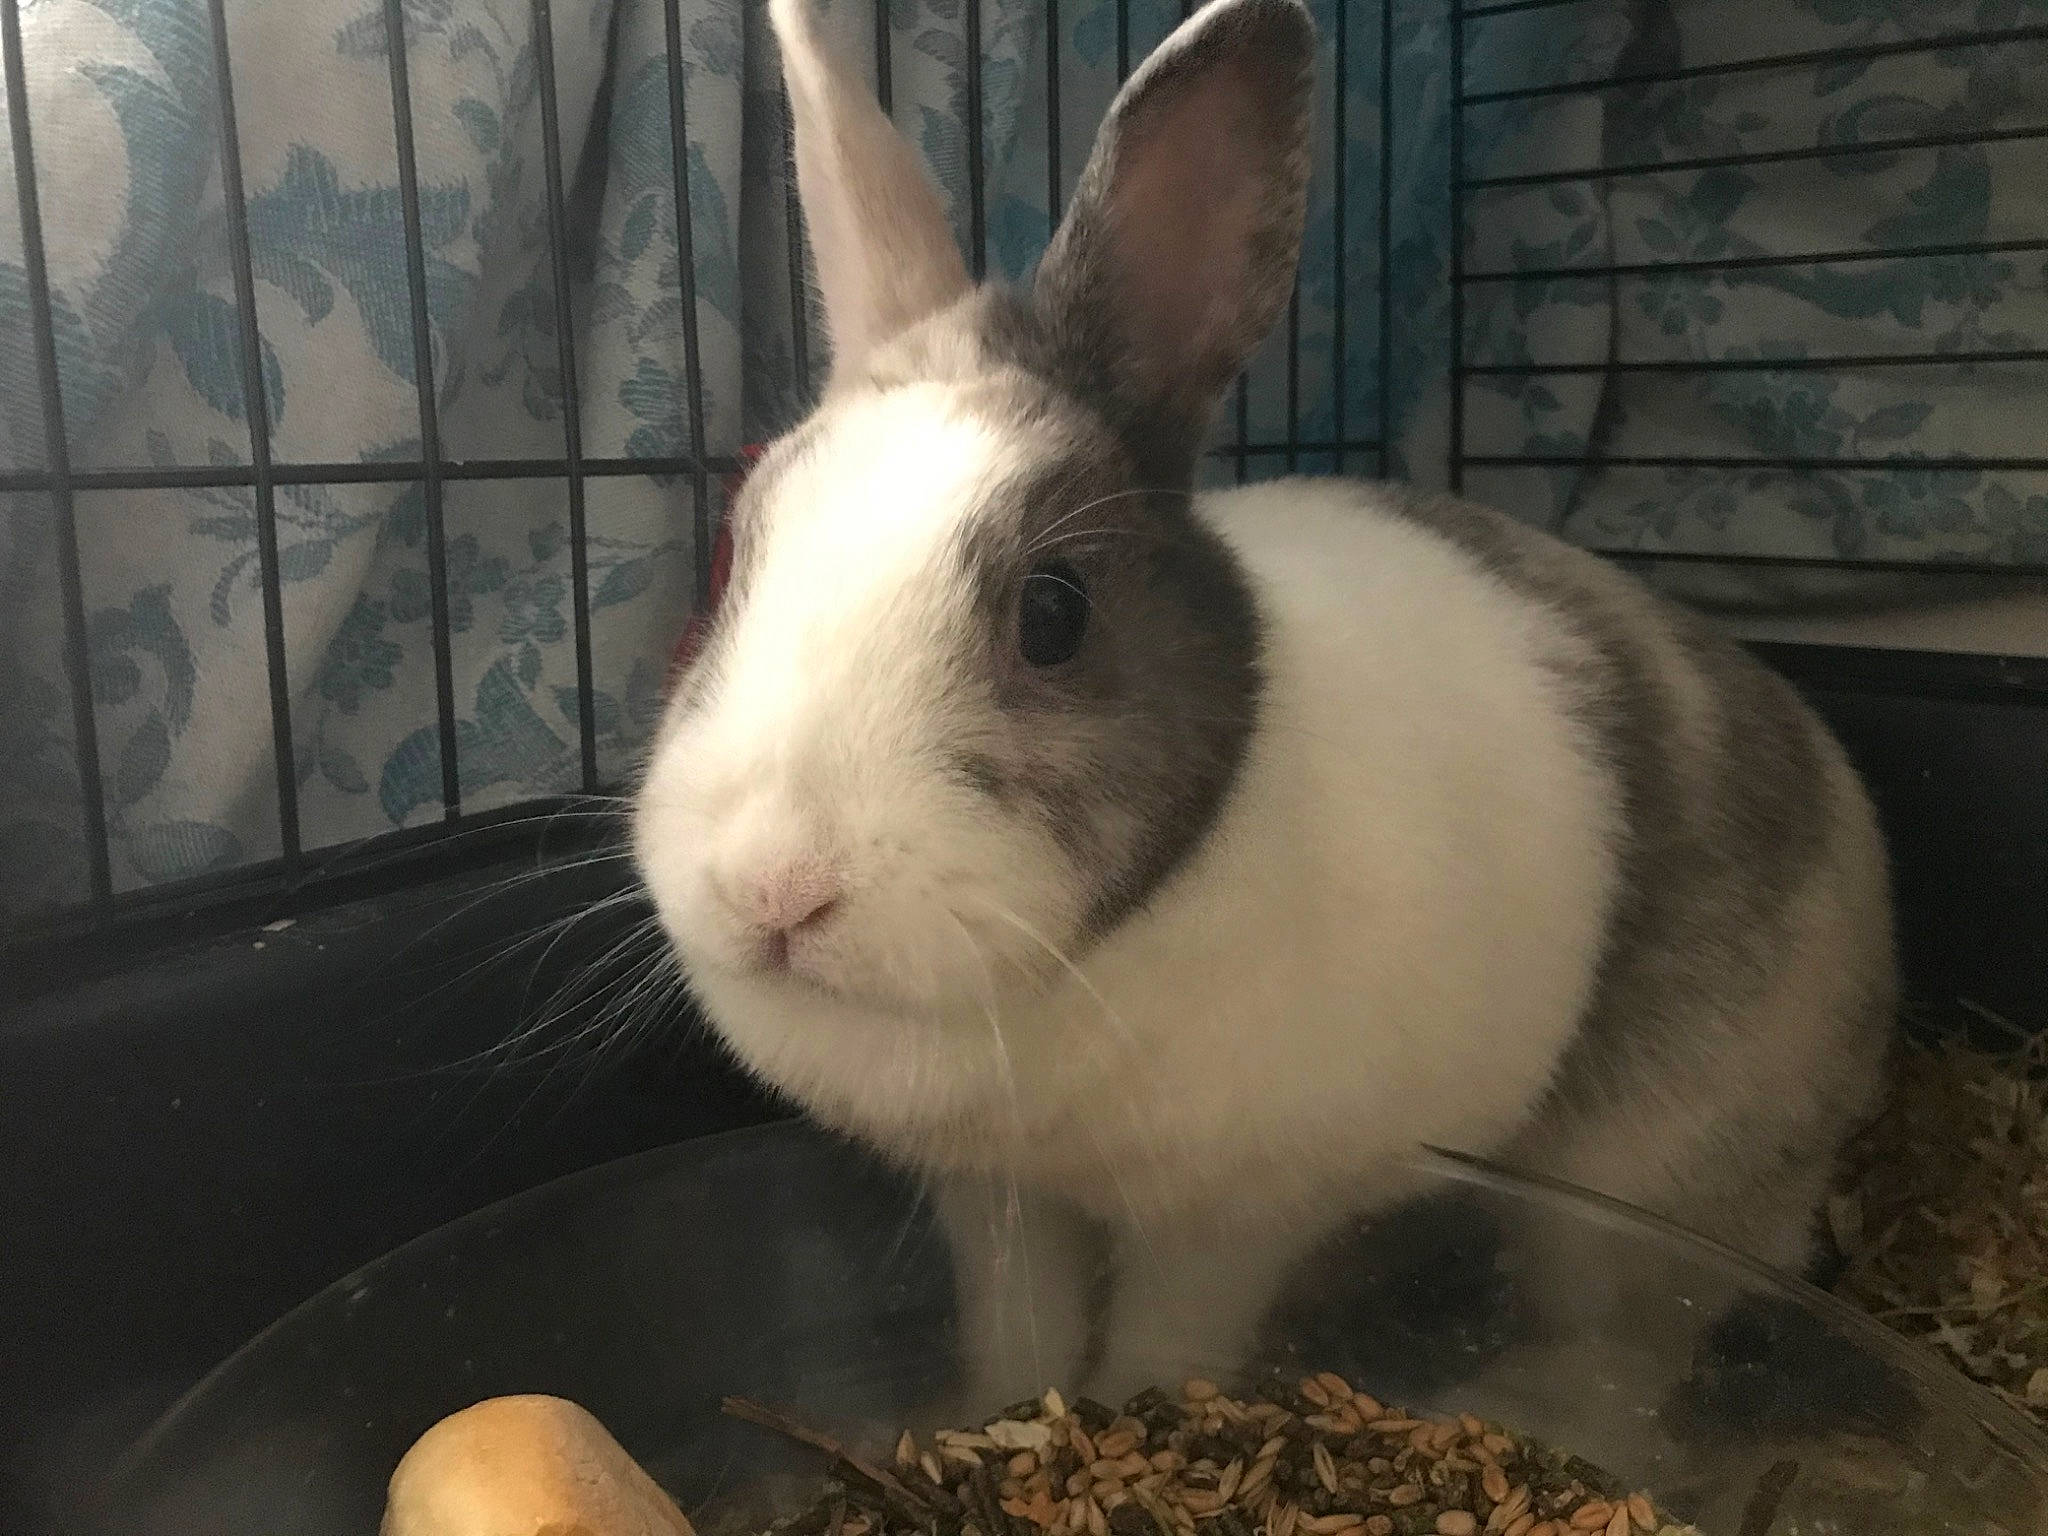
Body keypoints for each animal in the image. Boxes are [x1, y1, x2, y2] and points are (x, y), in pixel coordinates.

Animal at [632, 0, 1896, 1407]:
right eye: (736, 557)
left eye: (1055, 613)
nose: (772, 890)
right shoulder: (998, 1200)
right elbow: (1020, 1330)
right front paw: (1003, 1409)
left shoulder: (1233, 1218)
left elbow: (1168, 1343)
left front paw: (1129, 1413)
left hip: (1639, 1184)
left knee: (1624, 1351)